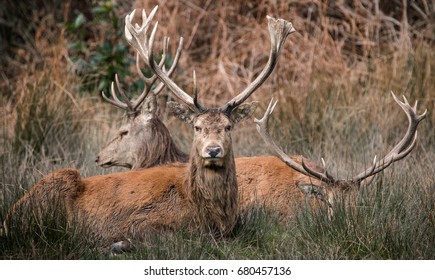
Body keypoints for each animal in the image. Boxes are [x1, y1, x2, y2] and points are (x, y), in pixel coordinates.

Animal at [1, 7, 294, 245]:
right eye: (197, 127)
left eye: (228, 127)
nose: (213, 150)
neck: (209, 214)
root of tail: (8, 216)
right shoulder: (139, 219)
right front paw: (114, 244)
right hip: (60, 180)